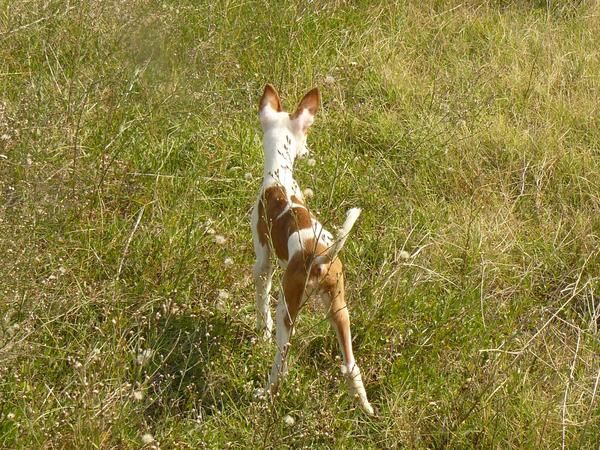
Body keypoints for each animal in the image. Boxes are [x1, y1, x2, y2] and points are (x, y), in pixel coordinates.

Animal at [250, 83, 372, 414]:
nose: (307, 152)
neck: (279, 177)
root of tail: (319, 257)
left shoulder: (263, 260)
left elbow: (261, 300)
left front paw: (261, 331)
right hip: (339, 309)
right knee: (351, 365)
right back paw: (367, 409)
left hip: (288, 306)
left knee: (281, 363)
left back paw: (264, 394)